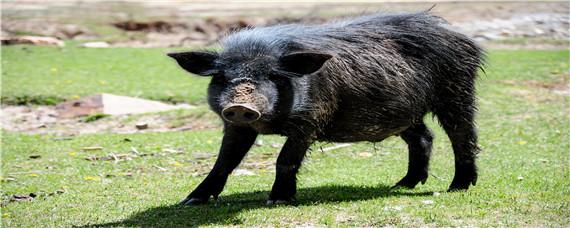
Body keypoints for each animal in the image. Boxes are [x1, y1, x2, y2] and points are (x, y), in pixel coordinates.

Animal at [169, 11, 484, 206]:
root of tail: (462, 37)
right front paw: (191, 201)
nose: (239, 104)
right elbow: (224, 161)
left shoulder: (311, 119)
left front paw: (277, 200)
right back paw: (401, 185)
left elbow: (285, 158)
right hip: (404, 113)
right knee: (423, 138)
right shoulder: (236, 125)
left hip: (457, 92)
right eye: (222, 77)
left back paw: (458, 187)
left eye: (272, 75)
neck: (271, 124)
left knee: (463, 136)